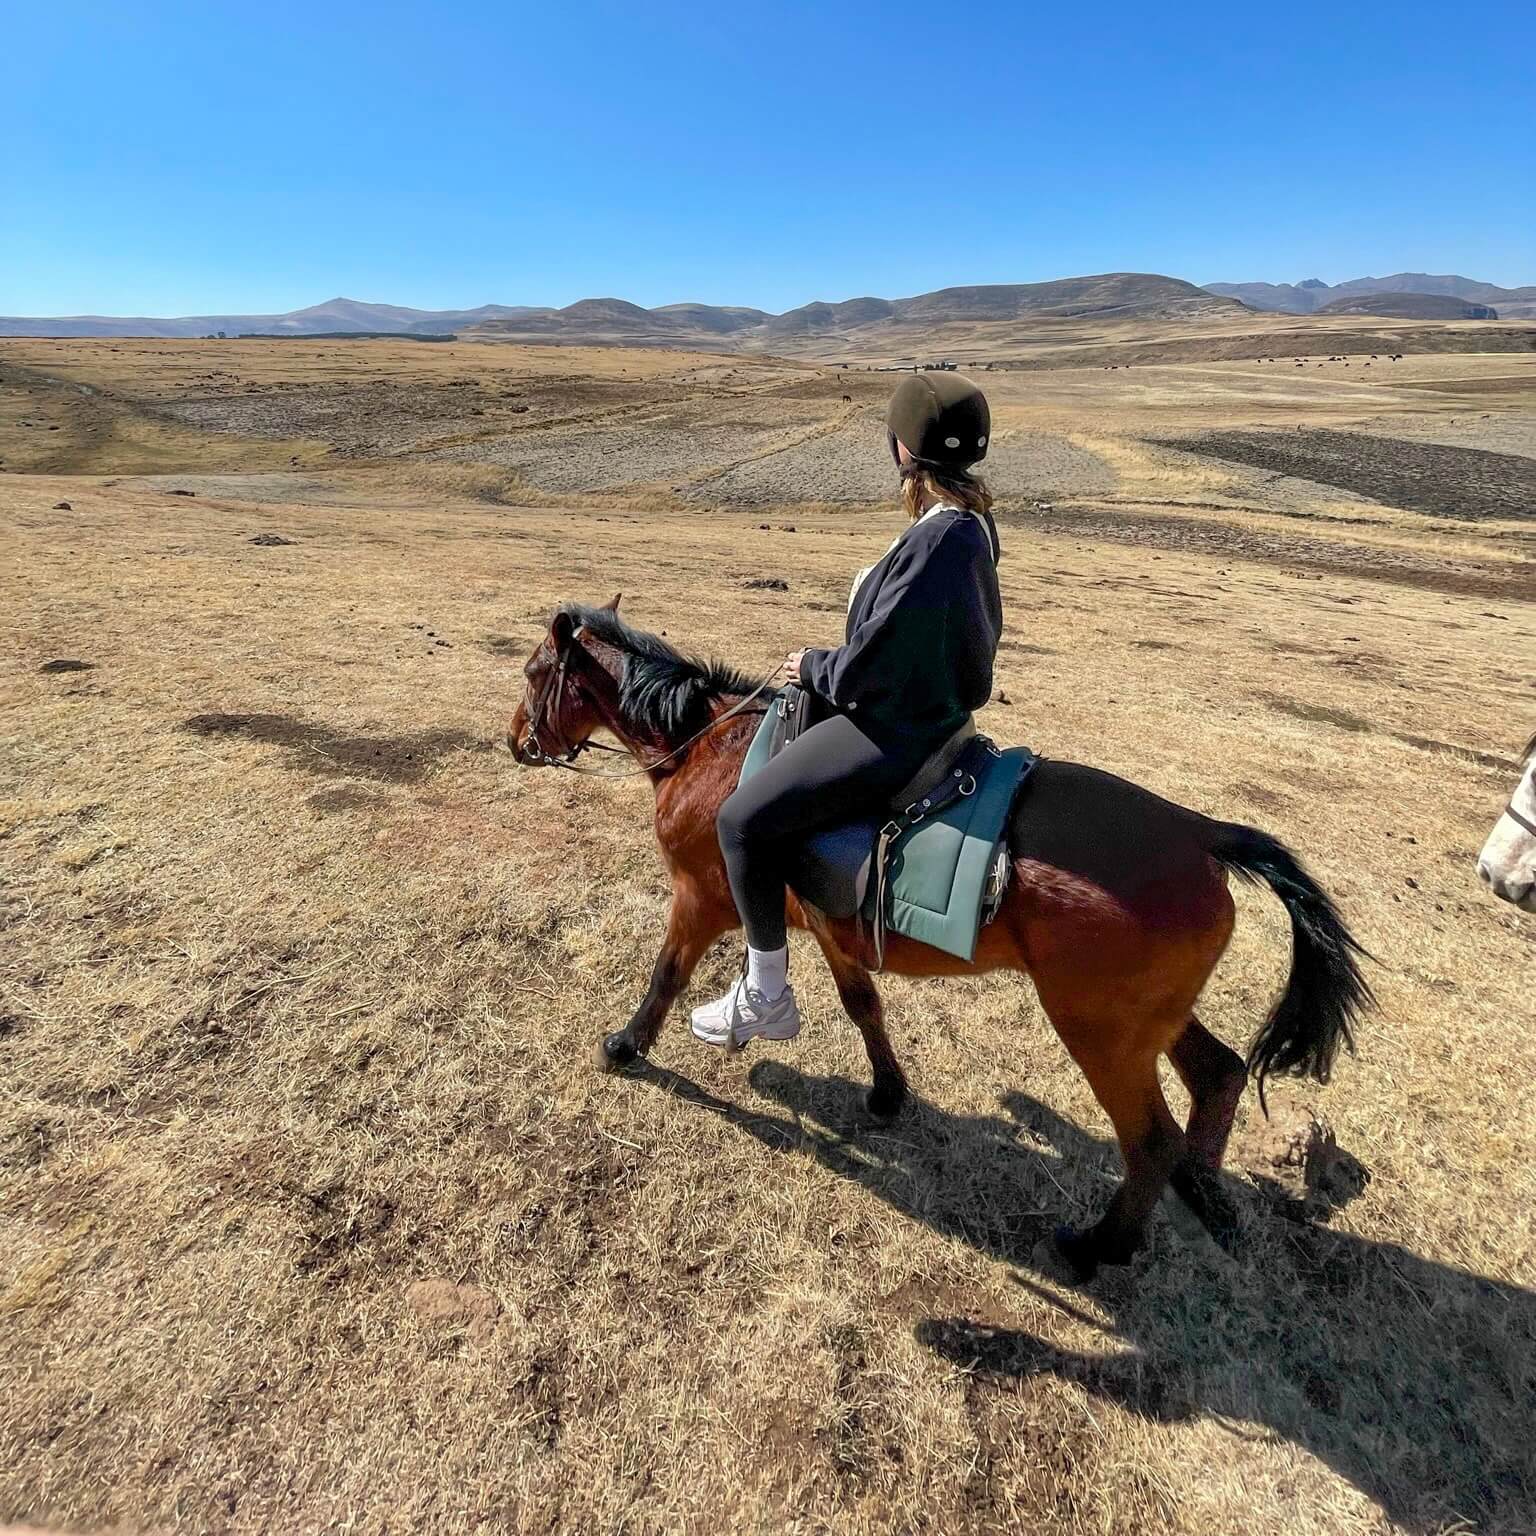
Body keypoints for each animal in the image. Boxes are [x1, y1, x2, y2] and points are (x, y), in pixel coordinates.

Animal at [509, 595, 1376, 1271]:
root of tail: (1201, 831)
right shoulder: (827, 925)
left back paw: (1099, 1246)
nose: (518, 741)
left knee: (1150, 1139)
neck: (706, 749)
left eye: (531, 674)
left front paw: (629, 1045)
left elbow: (667, 974)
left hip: (1101, 1031)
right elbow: (863, 1006)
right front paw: (888, 1092)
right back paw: (1199, 1189)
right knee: (1219, 1074)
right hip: (1146, 1019)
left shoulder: (704, 899)